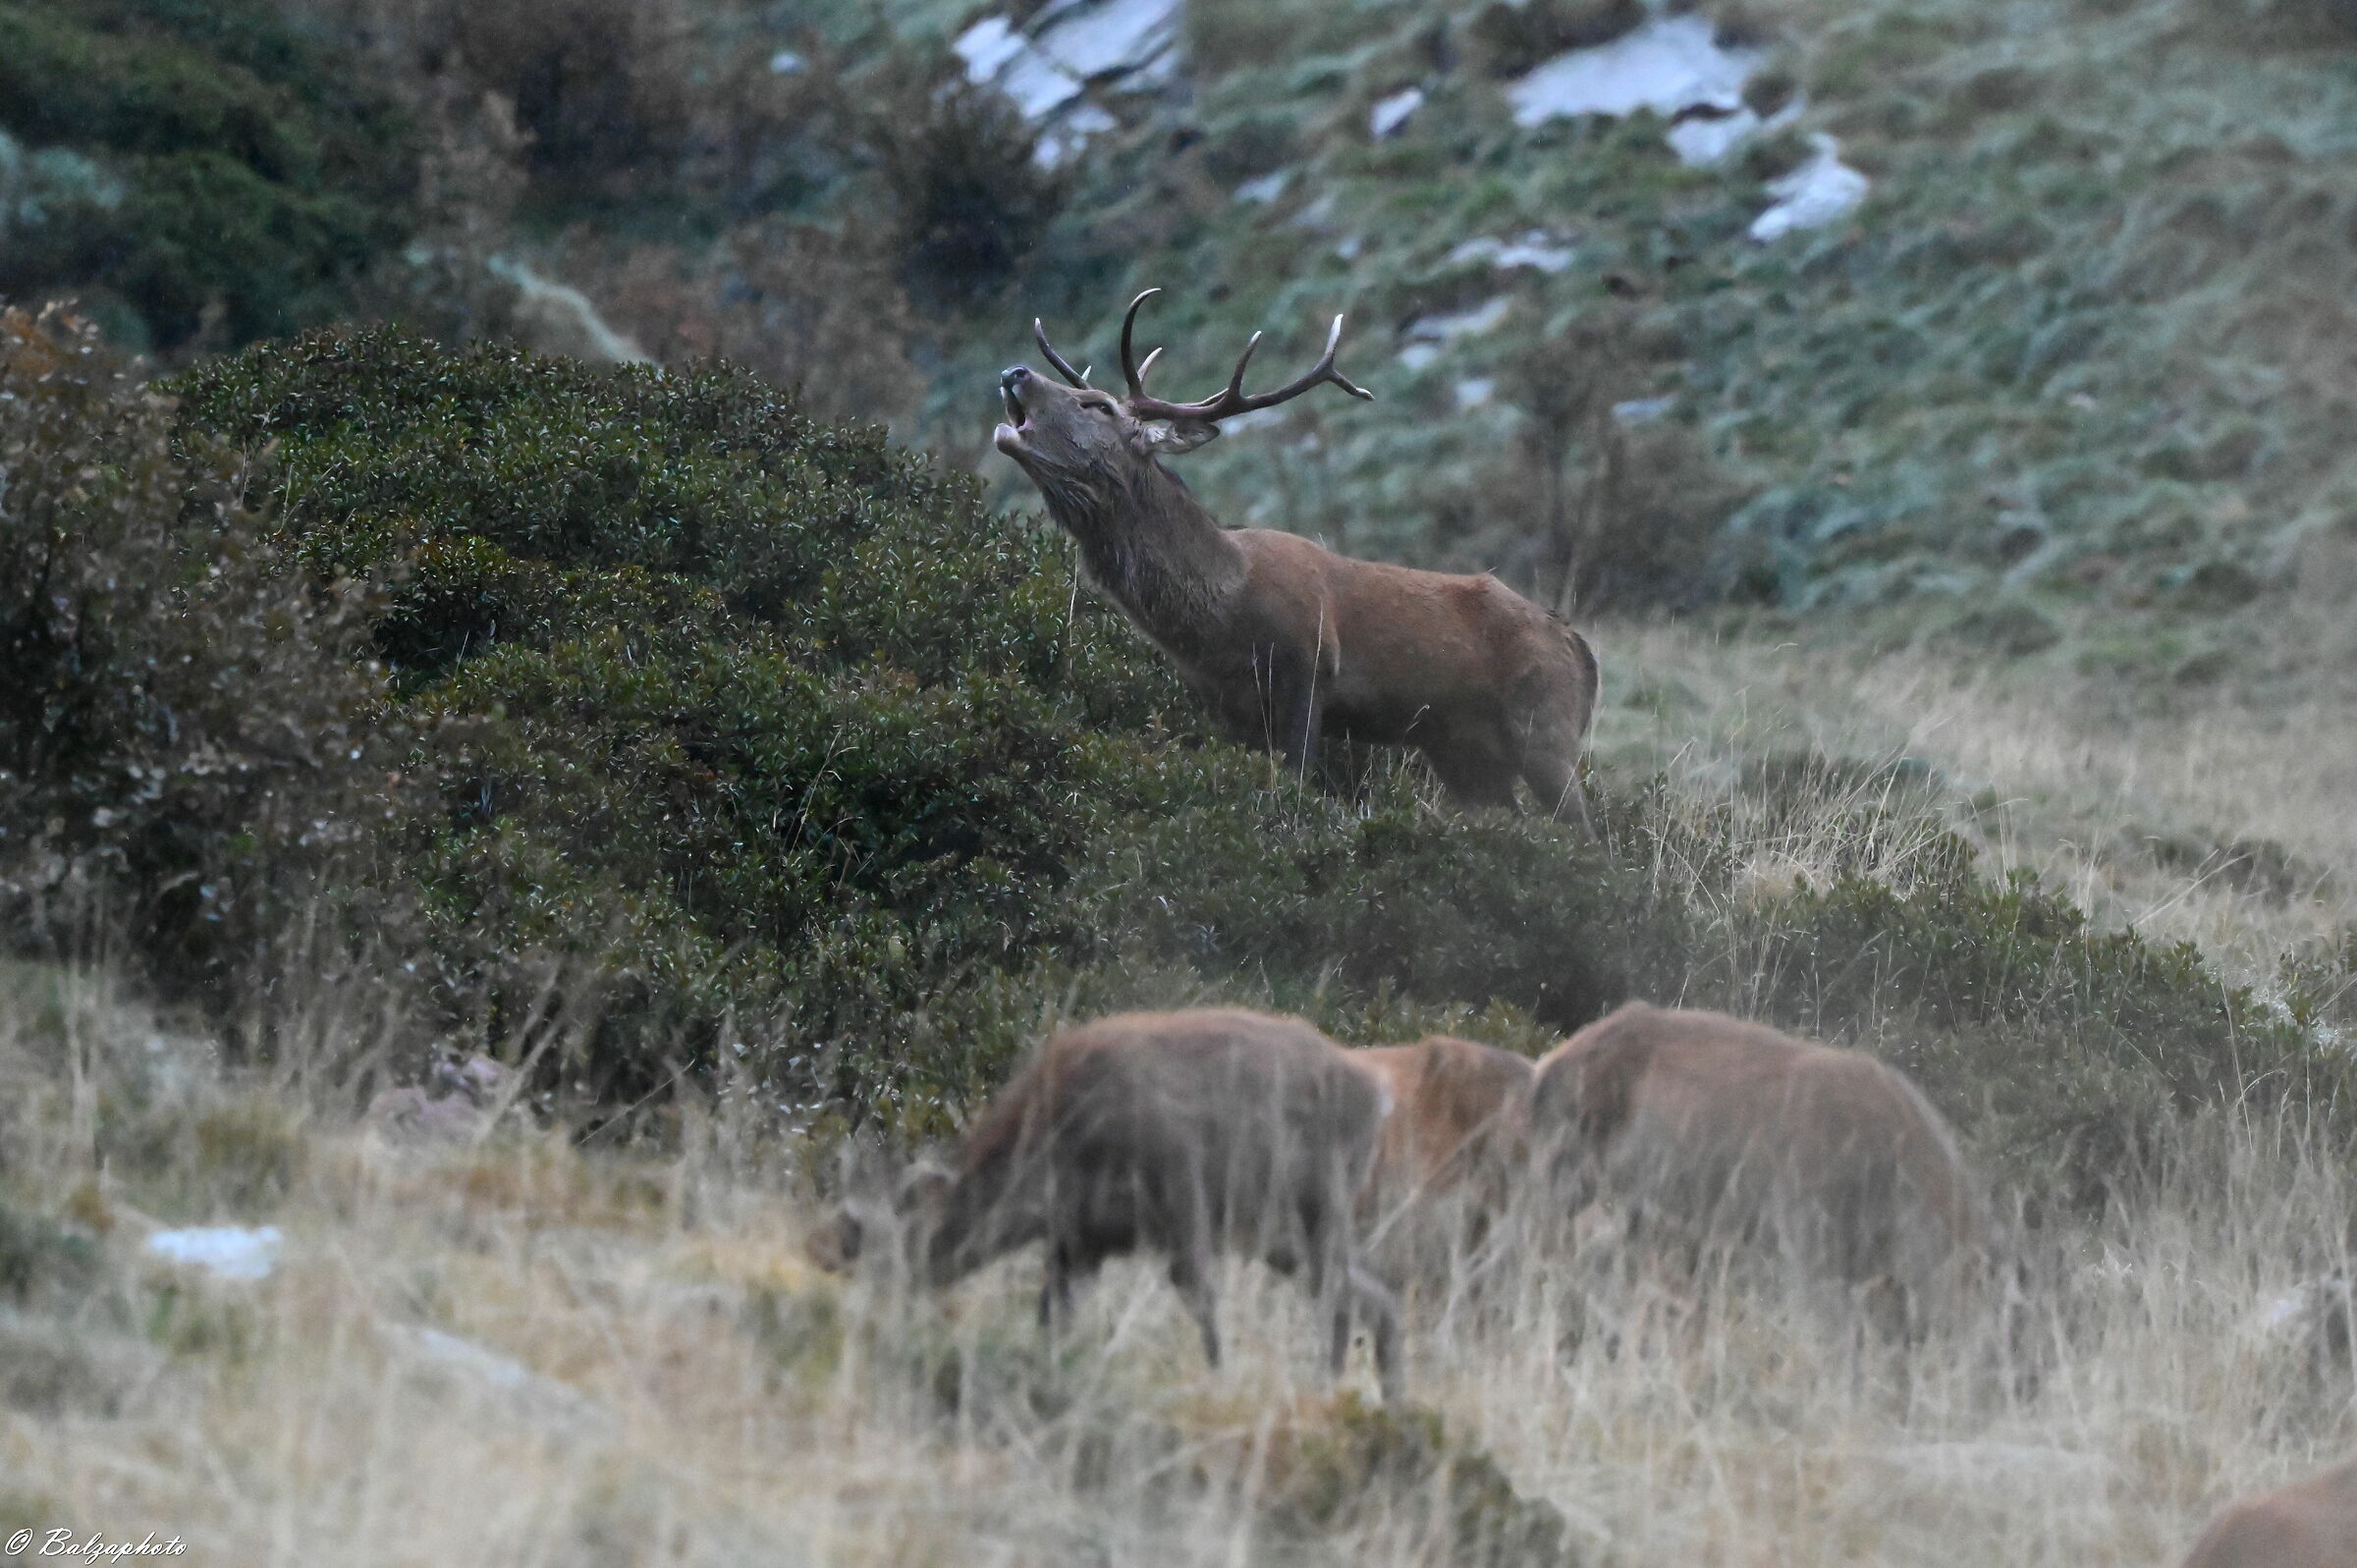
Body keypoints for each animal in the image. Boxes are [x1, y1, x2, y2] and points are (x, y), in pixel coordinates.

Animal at [811, 1008, 1405, 1399]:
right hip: (1277, 1231)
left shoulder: (1180, 1201)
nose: (866, 1336)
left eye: (890, 1248)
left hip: (1316, 1205)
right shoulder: (1078, 1242)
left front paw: (1221, 1387)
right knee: (1373, 1298)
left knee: (1343, 1300)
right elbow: (1051, 1320)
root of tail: (1376, 1095)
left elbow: (1206, 1312)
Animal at [997, 290, 1601, 833]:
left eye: (1097, 405)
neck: (1224, 616)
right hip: (1465, 750)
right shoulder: (1225, 707)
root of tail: (1578, 647)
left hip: (1546, 724)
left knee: (1588, 835)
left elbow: (1295, 783)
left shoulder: (1308, 668)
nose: (1014, 371)